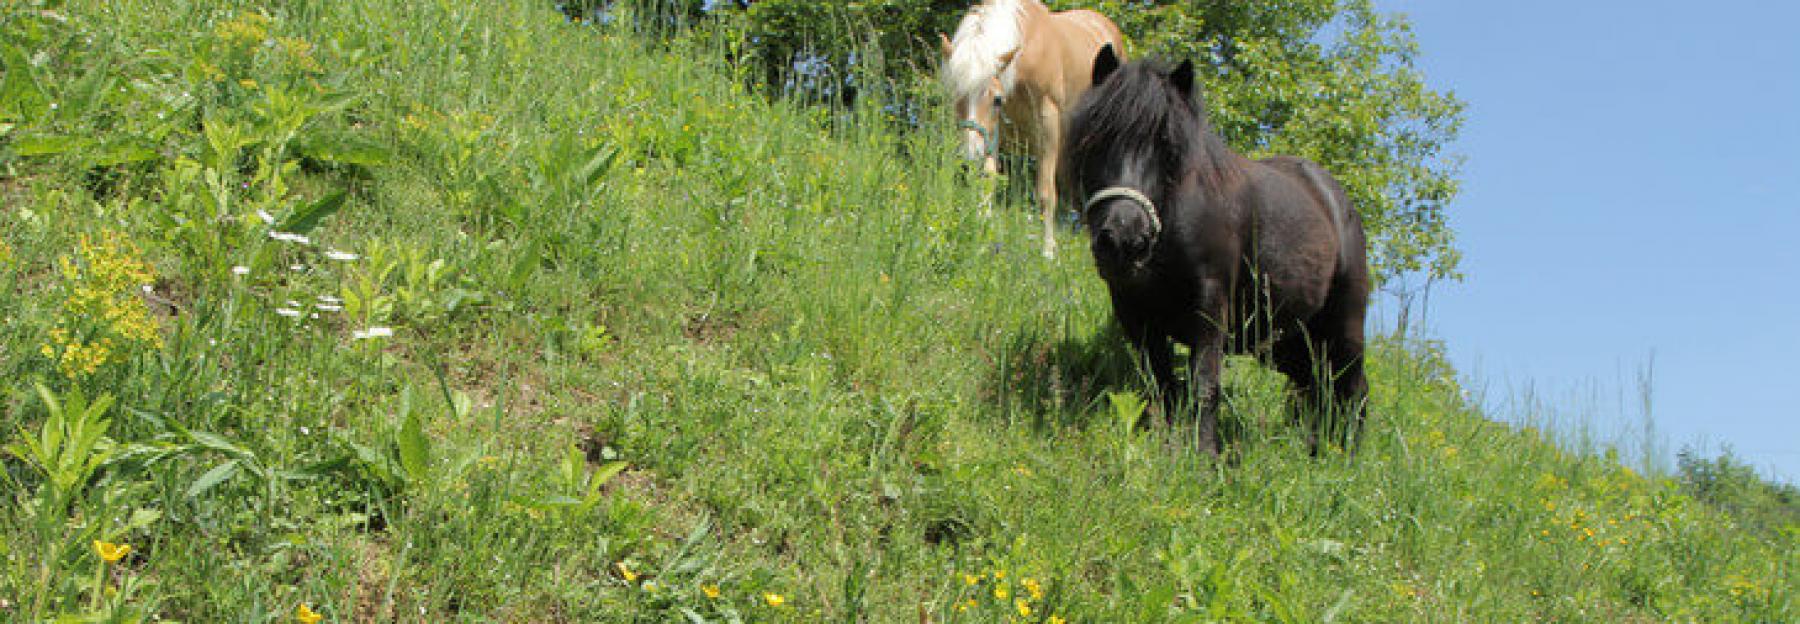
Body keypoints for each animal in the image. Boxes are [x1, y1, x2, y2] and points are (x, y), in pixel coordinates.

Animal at [943, 0, 1123, 258]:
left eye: (996, 99)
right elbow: (988, 179)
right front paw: (982, 234)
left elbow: (1046, 192)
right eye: (955, 96)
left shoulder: (1048, 126)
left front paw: (1048, 250)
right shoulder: (993, 131)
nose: (969, 155)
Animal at [1058, 44, 1368, 454]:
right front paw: (1167, 448)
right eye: (1098, 136)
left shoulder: (1209, 306)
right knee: (1315, 390)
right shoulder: (1133, 313)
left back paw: (1348, 458)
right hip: (1288, 342)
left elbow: (1205, 383)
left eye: (1166, 145)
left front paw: (1204, 455)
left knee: (1354, 389)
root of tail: (1334, 199)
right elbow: (1161, 386)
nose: (1125, 239)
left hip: (1345, 327)